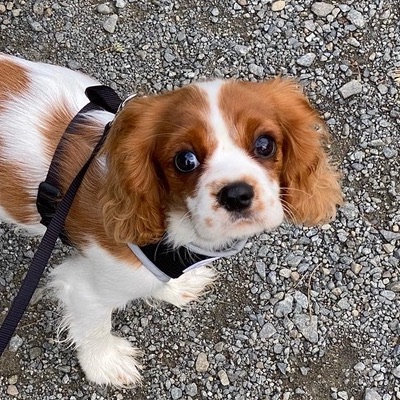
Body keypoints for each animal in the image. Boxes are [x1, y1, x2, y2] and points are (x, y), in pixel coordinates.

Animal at [0, 54, 344, 388]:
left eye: (265, 144)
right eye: (185, 160)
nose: (236, 194)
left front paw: (177, 286)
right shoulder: (85, 286)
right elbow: (94, 326)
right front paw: (105, 364)